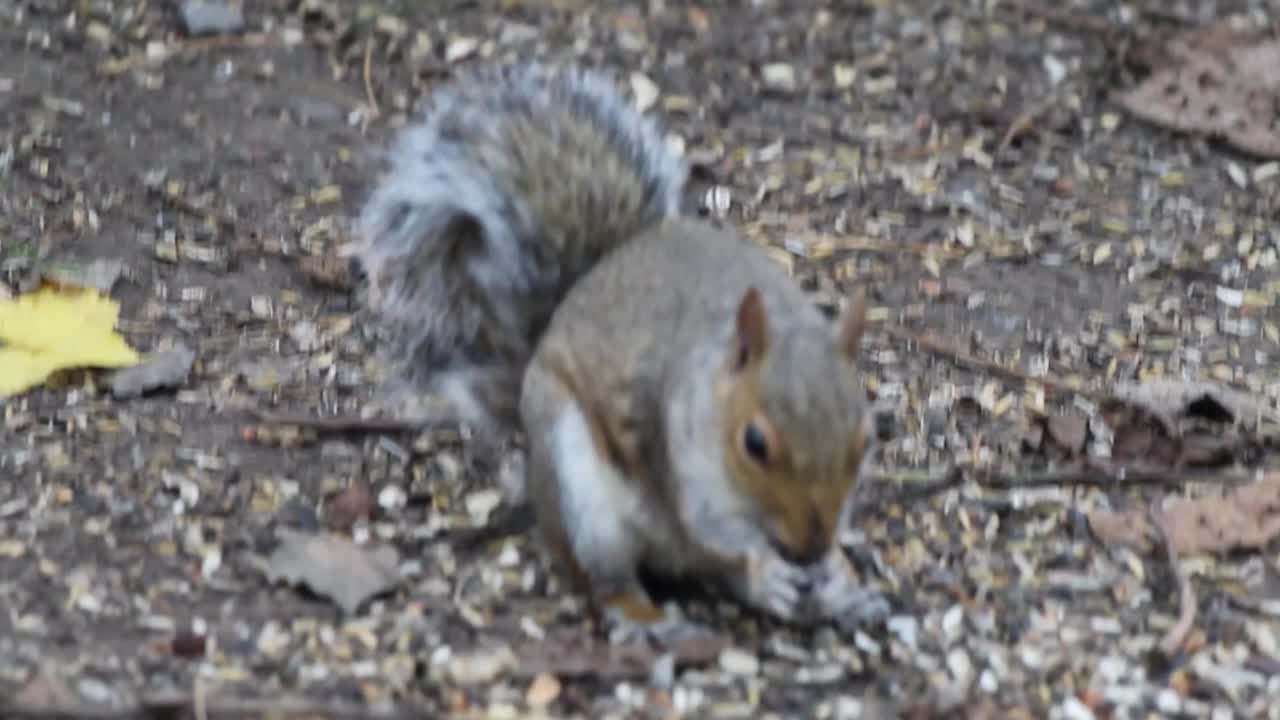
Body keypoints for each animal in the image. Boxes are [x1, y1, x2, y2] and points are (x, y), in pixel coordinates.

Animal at [353, 63, 890, 638]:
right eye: (755, 443)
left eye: (866, 441)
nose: (811, 548)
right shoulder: (680, 457)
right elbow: (718, 535)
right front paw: (768, 564)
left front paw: (836, 569)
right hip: (579, 496)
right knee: (606, 578)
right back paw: (652, 617)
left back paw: (840, 599)